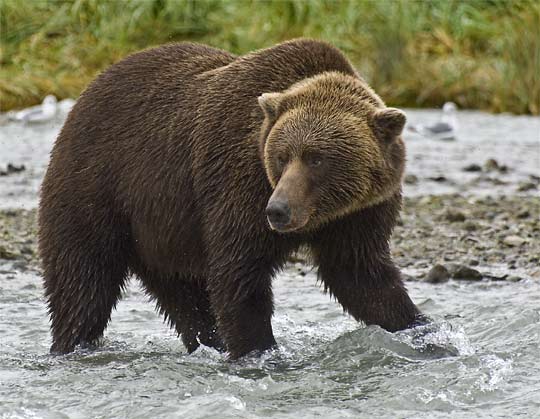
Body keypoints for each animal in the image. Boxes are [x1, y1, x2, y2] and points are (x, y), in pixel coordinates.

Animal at [39, 39, 426, 360]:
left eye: (316, 158)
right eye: (282, 156)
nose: (278, 210)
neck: (322, 214)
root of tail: (82, 98)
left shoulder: (359, 214)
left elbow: (361, 276)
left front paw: (420, 330)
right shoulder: (238, 186)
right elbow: (239, 276)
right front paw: (258, 351)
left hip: (162, 235)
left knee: (187, 297)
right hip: (97, 189)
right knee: (82, 281)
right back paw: (71, 345)